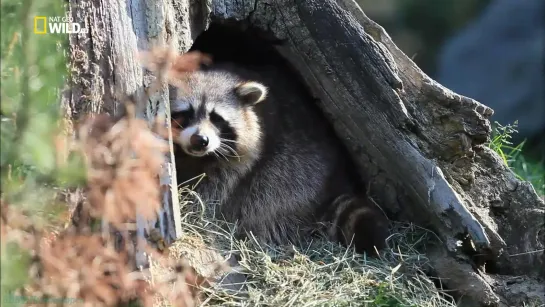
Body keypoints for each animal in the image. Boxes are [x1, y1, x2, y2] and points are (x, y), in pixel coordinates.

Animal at [170, 62, 386, 255]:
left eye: (216, 118)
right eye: (185, 113)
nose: (200, 140)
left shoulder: (242, 159)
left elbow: (216, 189)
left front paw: (195, 205)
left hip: (299, 172)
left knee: (268, 197)